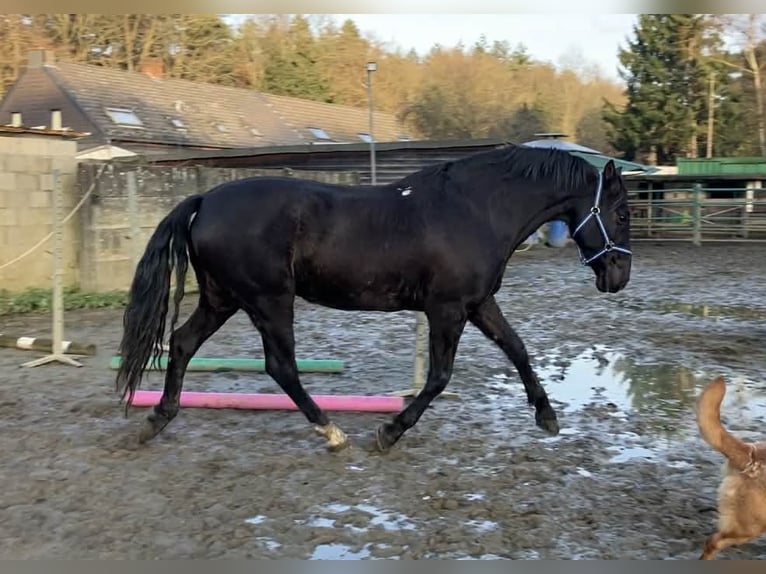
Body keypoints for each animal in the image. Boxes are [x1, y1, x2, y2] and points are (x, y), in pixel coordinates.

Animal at [115, 143, 633, 452]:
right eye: (623, 212)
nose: (619, 275)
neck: (475, 210)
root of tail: (204, 201)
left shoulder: (478, 303)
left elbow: (519, 349)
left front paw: (547, 417)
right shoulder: (447, 309)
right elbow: (439, 377)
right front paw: (389, 432)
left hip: (223, 299)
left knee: (182, 343)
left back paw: (156, 420)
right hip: (268, 301)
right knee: (280, 367)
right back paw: (331, 431)